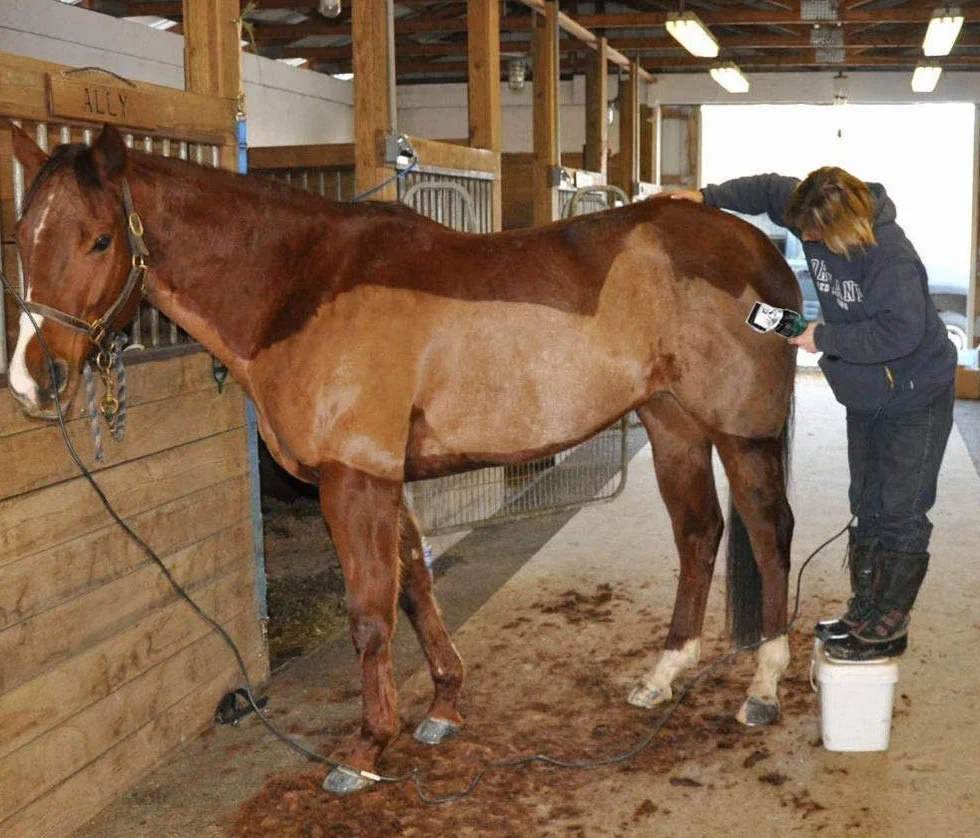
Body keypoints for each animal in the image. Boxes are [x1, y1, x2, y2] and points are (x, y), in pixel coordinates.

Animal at [8, 124, 797, 795]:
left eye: (100, 241)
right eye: (20, 236)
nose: (32, 380)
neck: (300, 286)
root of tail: (763, 253)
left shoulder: (353, 480)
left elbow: (370, 613)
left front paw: (366, 748)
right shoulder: (387, 479)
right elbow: (416, 586)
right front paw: (444, 707)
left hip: (742, 434)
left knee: (769, 533)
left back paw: (762, 686)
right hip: (673, 425)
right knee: (698, 534)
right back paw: (664, 673)